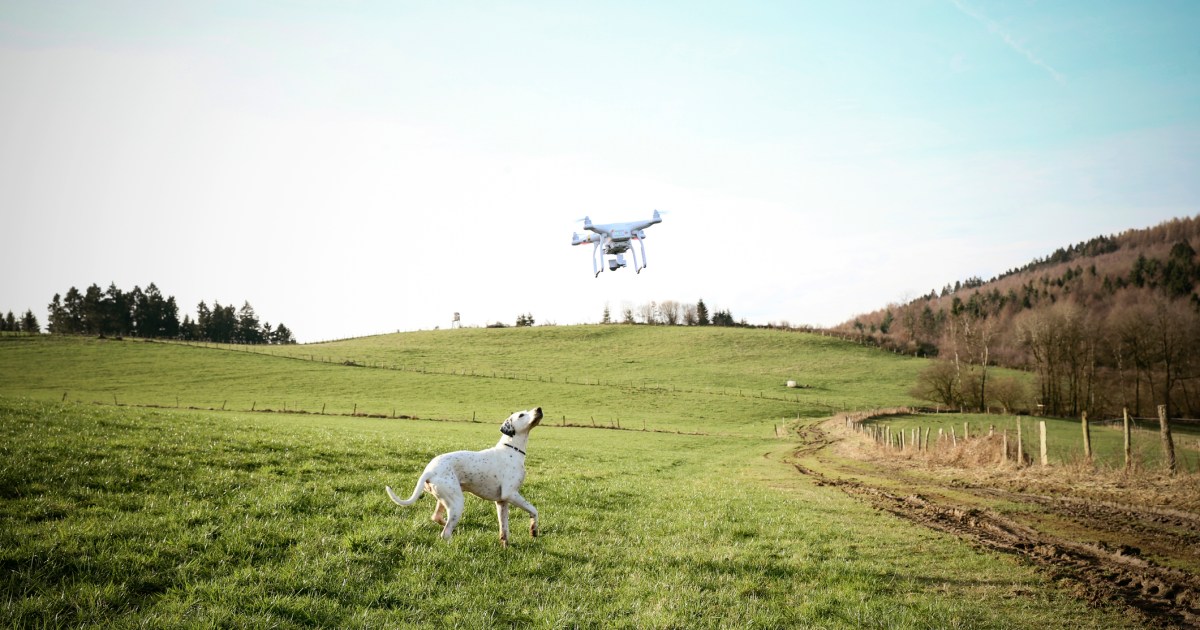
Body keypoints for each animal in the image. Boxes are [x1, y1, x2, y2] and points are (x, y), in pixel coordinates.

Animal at [388, 408, 544, 544]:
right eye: (521, 415)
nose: (539, 409)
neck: (512, 449)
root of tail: (429, 470)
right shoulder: (511, 494)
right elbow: (534, 510)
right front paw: (533, 530)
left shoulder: (502, 502)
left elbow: (504, 530)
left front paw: (505, 545)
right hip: (457, 503)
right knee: (445, 533)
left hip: (445, 500)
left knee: (437, 518)